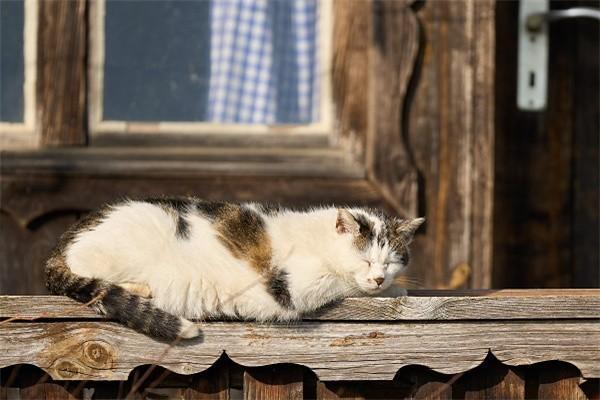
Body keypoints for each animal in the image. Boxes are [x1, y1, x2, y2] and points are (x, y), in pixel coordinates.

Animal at [44, 198, 424, 342]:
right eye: (365, 260)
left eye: (390, 261)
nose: (379, 277)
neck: (318, 239)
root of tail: (58, 247)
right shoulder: (293, 286)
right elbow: (342, 282)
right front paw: (390, 289)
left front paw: (394, 287)